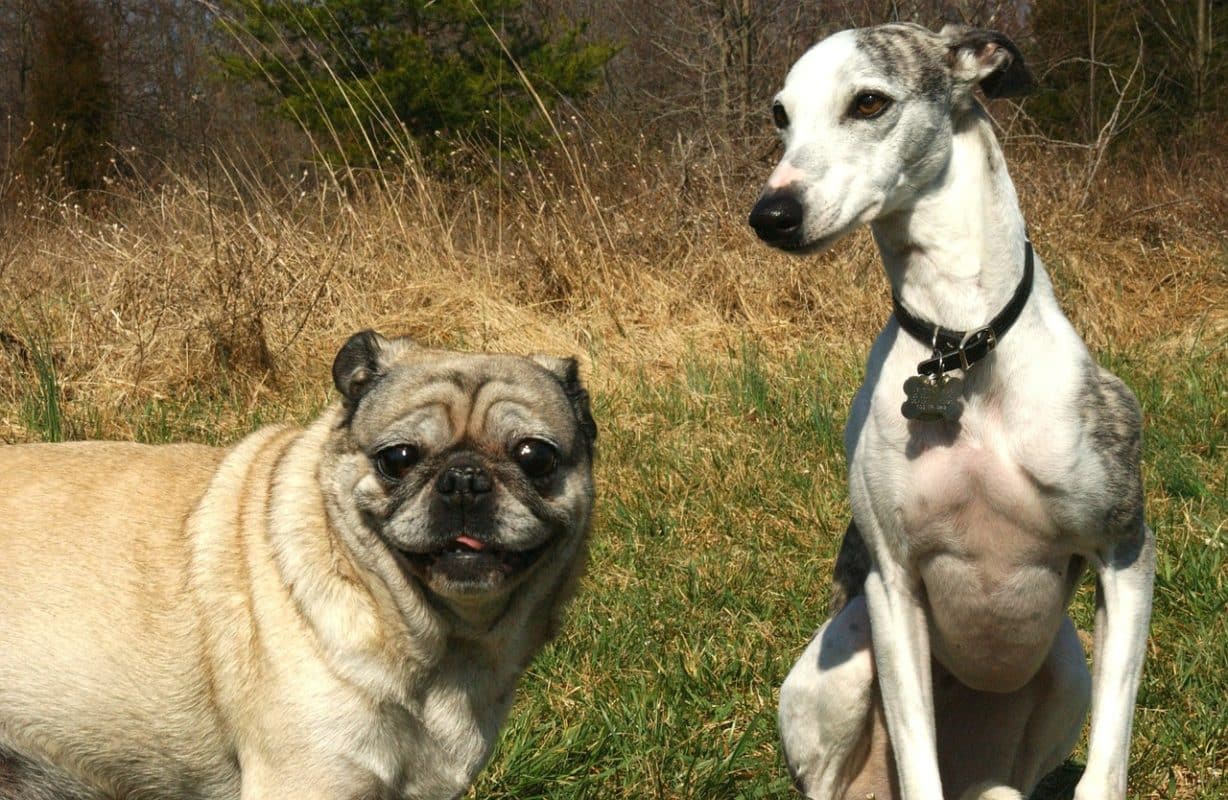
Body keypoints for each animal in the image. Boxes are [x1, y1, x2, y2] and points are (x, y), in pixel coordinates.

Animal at [746, 23, 1149, 800]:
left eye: (870, 101)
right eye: (781, 114)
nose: (771, 216)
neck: (960, 343)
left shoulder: (1127, 551)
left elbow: (1106, 765)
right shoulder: (892, 582)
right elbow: (917, 755)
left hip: (1066, 668)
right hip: (846, 654)